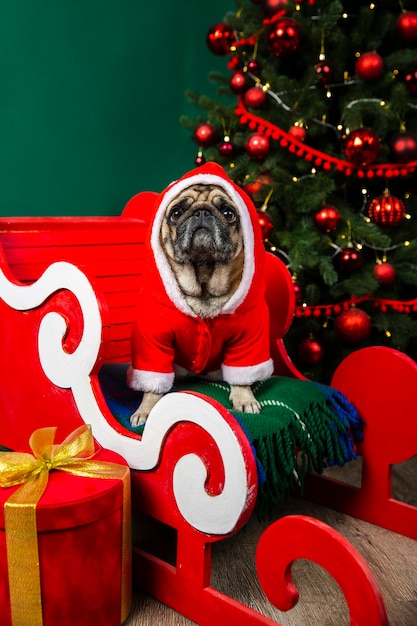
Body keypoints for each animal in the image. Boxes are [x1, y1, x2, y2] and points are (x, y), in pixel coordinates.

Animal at [128, 163, 272, 424]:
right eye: (176, 213)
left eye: (228, 213)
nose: (202, 212)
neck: (203, 278)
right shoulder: (153, 343)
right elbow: (153, 383)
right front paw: (147, 408)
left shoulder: (249, 338)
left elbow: (243, 376)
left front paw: (244, 398)